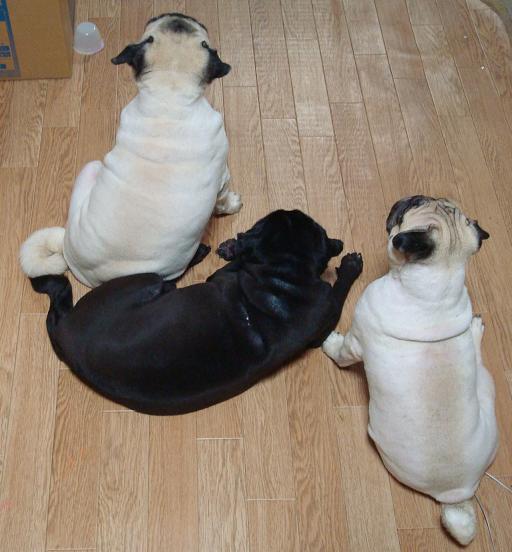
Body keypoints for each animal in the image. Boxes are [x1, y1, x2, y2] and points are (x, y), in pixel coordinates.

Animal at [20, 13, 240, 287]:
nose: (178, 15)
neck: (169, 93)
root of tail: (66, 251)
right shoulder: (223, 176)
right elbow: (223, 199)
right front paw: (232, 204)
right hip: (93, 166)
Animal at [322, 196, 498, 546]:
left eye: (407, 213)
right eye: (420, 201)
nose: (410, 197)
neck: (439, 287)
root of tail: (456, 493)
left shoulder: (357, 337)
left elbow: (343, 351)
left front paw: (330, 344)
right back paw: (474, 330)